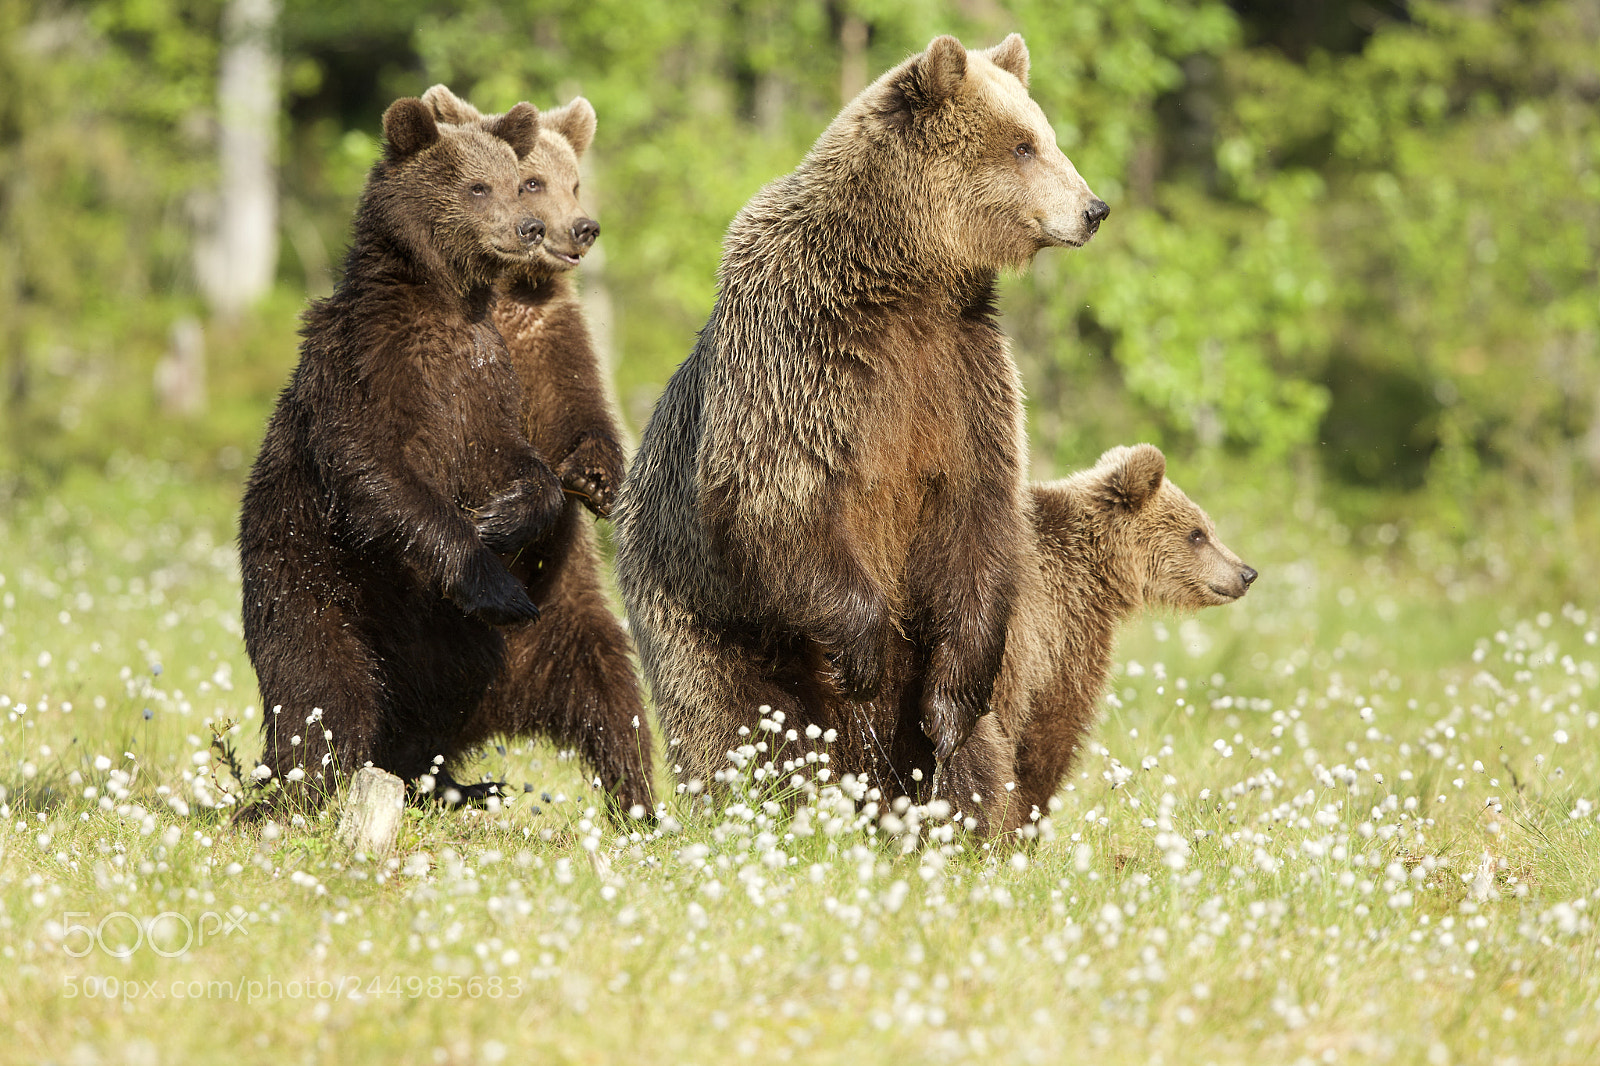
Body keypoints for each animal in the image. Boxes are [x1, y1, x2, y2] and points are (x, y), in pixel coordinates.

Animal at [237, 96, 567, 815]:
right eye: (478, 187)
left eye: (520, 181)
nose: (529, 228)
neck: (440, 299)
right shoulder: (367, 366)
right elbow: (375, 469)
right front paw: (500, 583)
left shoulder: (483, 377)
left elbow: (519, 461)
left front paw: (502, 517)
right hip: (308, 580)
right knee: (324, 688)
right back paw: (304, 787)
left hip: (442, 629)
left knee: (452, 685)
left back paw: (450, 782)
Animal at [418, 84, 654, 816]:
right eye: (532, 181)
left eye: (575, 180)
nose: (583, 227)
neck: (509, 289)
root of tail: (505, 705)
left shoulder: (553, 340)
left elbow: (582, 416)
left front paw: (597, 480)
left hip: (574, 624)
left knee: (617, 707)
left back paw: (640, 806)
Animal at [613, 34, 1110, 810]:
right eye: (1023, 145)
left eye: (1045, 135)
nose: (1094, 208)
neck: (905, 274)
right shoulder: (806, 348)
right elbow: (781, 488)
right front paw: (864, 652)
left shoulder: (960, 371)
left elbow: (979, 510)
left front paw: (951, 708)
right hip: (701, 612)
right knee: (733, 725)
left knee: (967, 764)